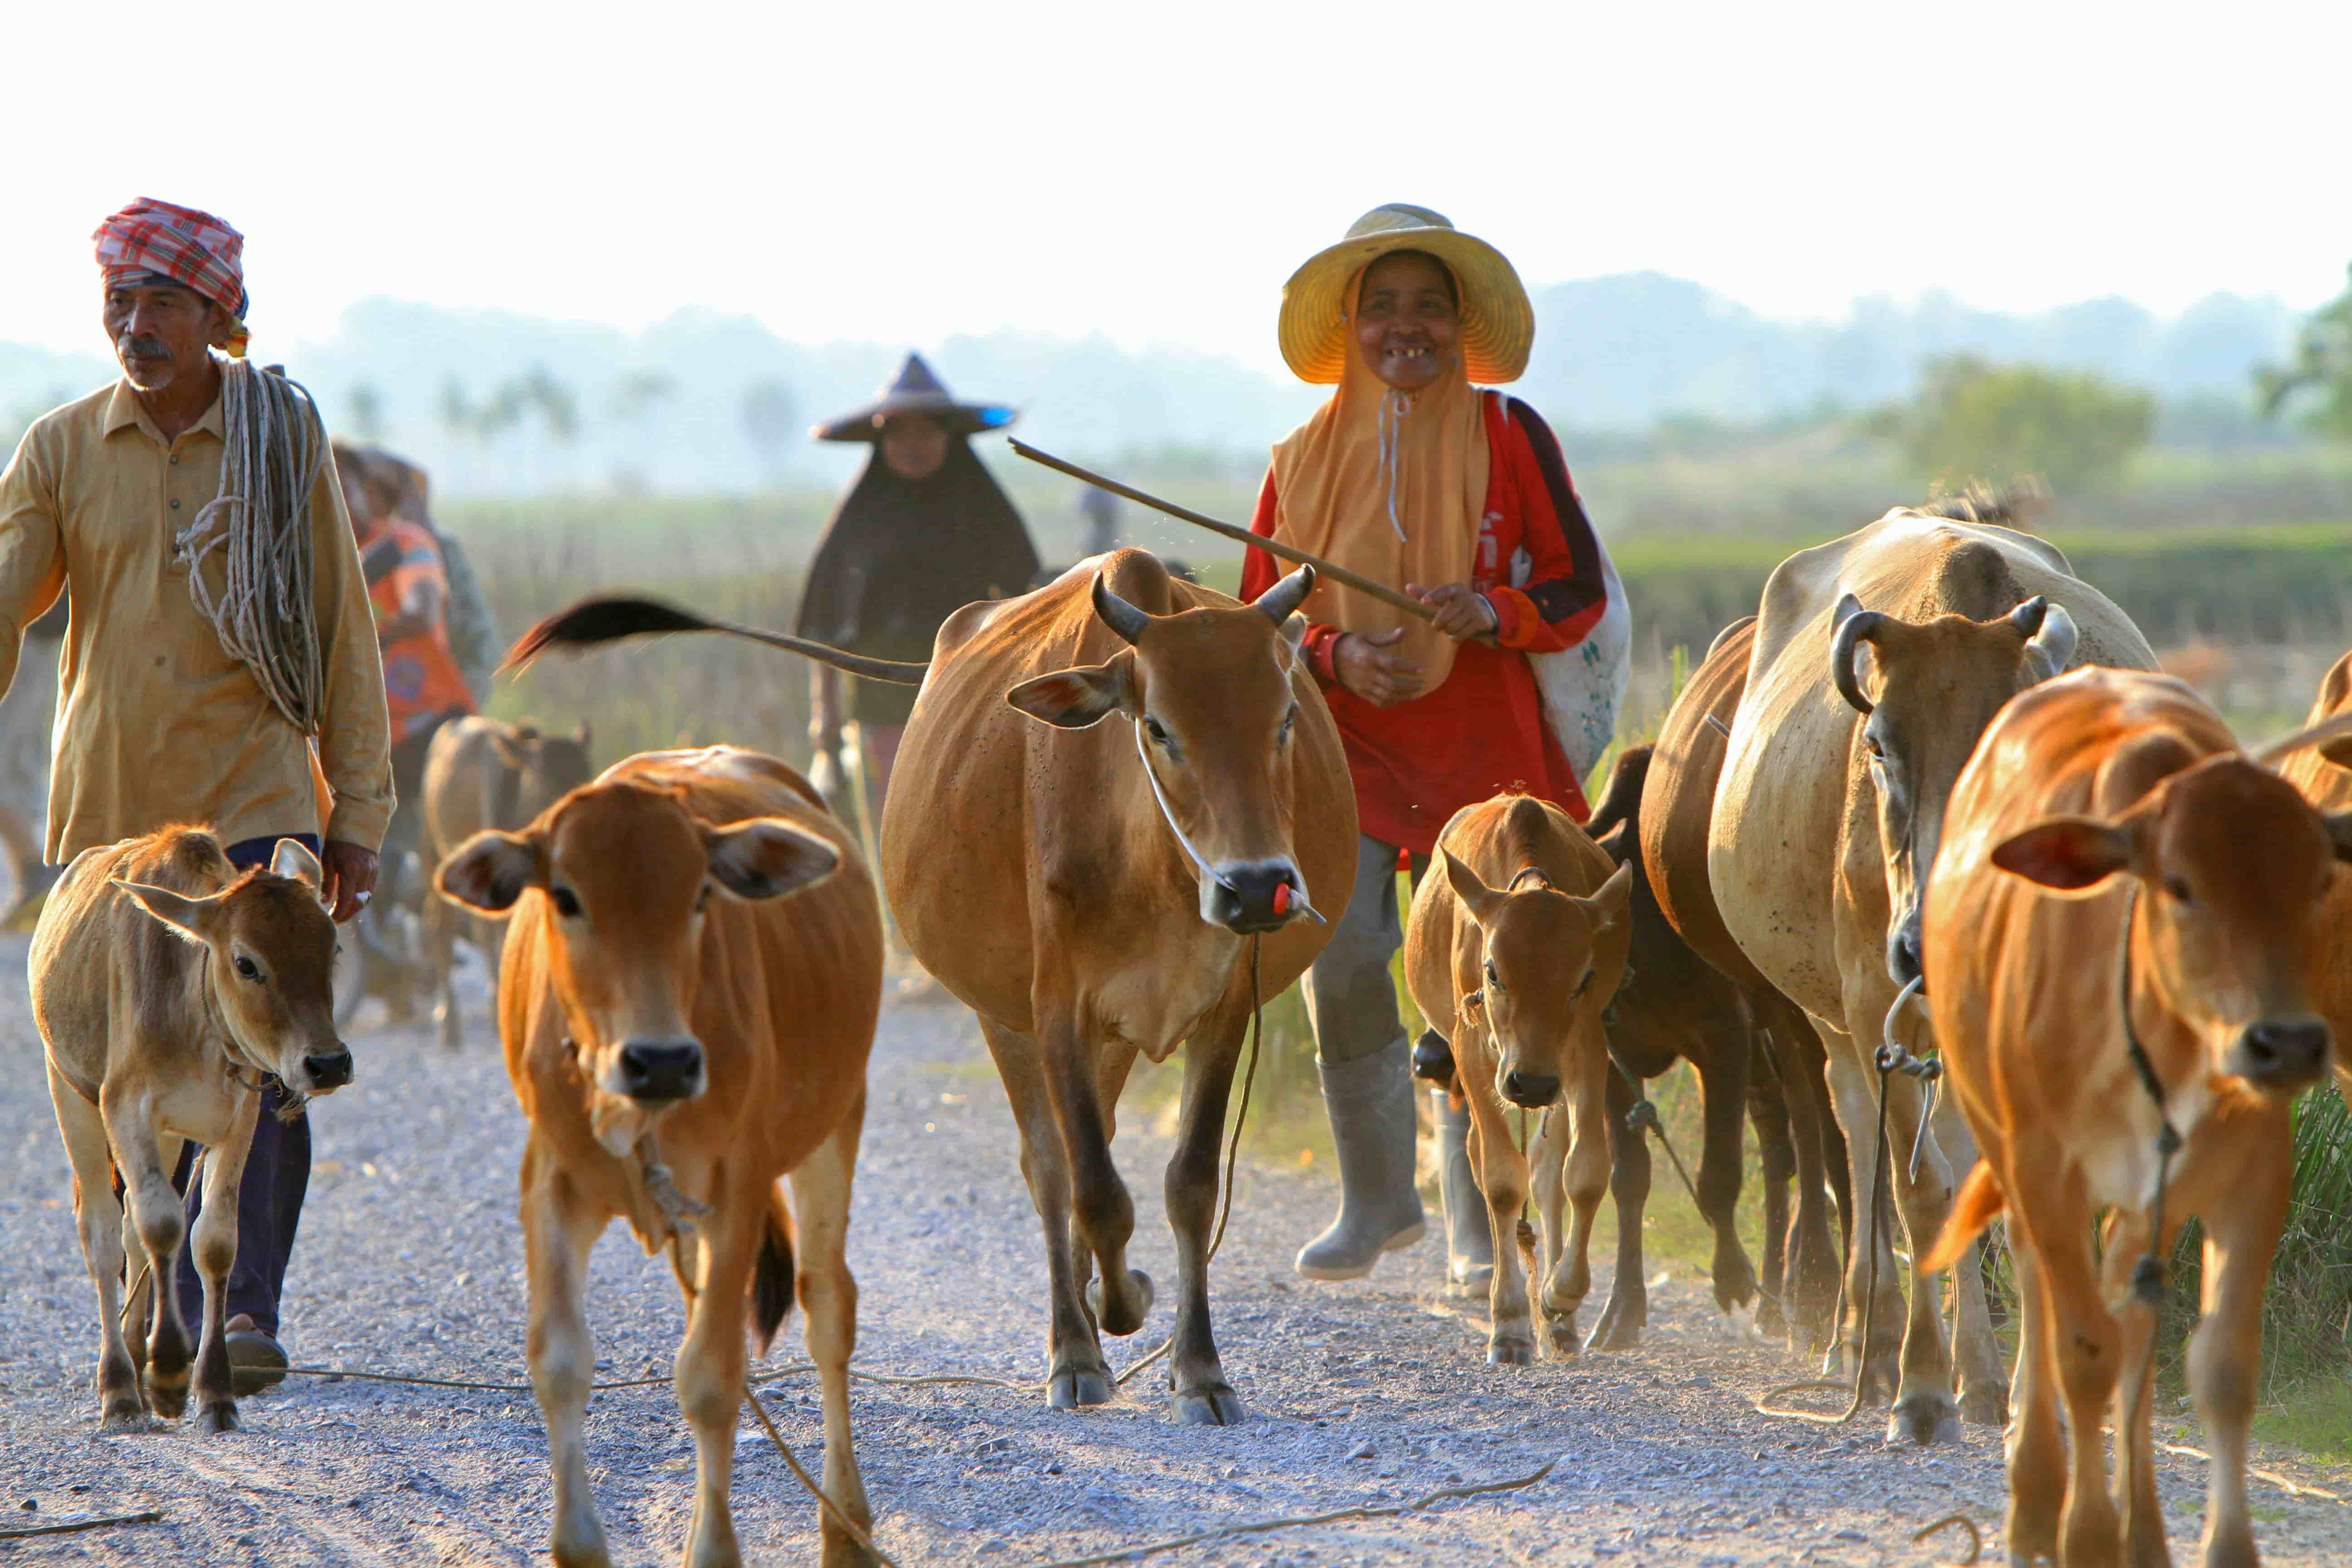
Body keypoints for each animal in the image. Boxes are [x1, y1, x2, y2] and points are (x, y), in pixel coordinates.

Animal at [37, 832, 350, 1439]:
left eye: (333, 951)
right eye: (246, 963)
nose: (327, 1063)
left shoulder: (237, 1120)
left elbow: (213, 1241)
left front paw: (214, 1391)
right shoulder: (124, 1107)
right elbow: (162, 1225)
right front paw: (166, 1374)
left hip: (166, 1137)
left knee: (132, 1230)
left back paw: (135, 1358)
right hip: (72, 1095)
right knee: (105, 1234)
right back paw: (121, 1384)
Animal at [437, 747, 879, 1568]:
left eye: (701, 891)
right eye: (567, 896)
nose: (663, 1062)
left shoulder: (736, 1189)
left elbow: (709, 1376)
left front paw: (712, 1548)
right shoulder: (551, 1186)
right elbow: (559, 1360)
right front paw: (579, 1542)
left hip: (838, 1118)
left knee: (827, 1304)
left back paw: (846, 1523)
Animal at [1401, 799, 1627, 1363]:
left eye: (1584, 978)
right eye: (1493, 971)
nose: (1531, 1084)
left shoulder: (1586, 1048)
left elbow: (1583, 1174)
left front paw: (1560, 1295)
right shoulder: (1473, 1052)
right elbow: (1502, 1181)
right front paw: (1508, 1323)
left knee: (1546, 1176)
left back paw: (1560, 1324)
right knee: (1487, 1161)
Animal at [1919, 672, 2342, 1568]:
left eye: (2318, 881)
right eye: (2178, 885)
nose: (2285, 1043)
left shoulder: (2249, 1180)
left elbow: (2219, 1367)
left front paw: (2219, 1547)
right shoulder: (2046, 1172)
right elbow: (2082, 1353)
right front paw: (2083, 1534)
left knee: (2133, 1324)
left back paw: (2141, 1532)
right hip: (2002, 1145)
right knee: (2047, 1298)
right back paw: (2035, 1500)